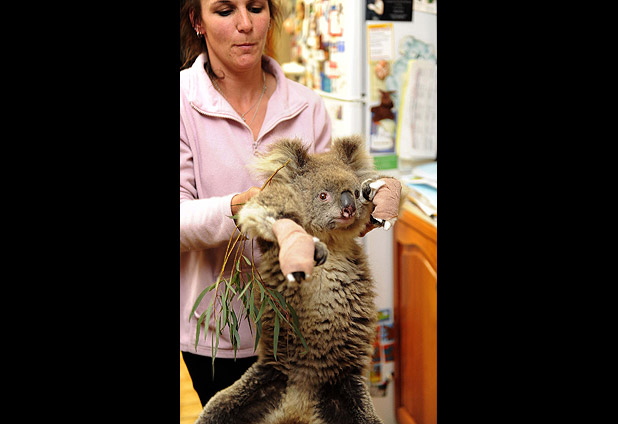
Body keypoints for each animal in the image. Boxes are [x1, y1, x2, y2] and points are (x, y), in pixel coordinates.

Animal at [195, 135, 404, 424]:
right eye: (323, 195)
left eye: (353, 192)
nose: (349, 208)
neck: (330, 239)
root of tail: (299, 401)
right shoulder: (269, 241)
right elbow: (265, 212)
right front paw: (306, 248)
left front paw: (377, 192)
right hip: (264, 381)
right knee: (217, 410)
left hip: (346, 388)